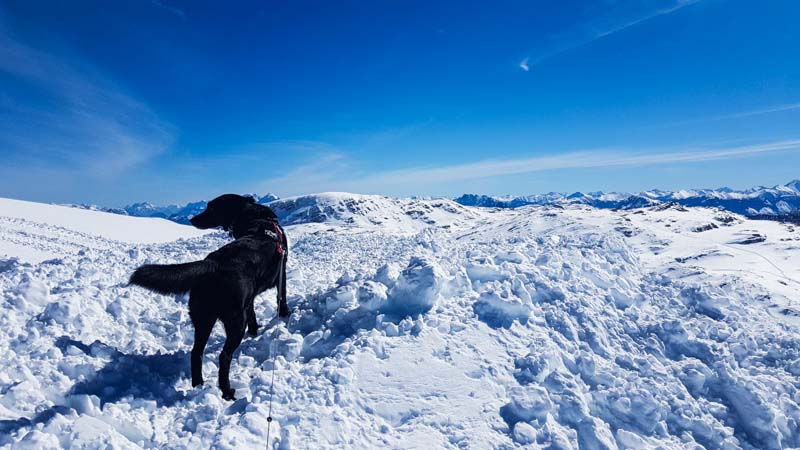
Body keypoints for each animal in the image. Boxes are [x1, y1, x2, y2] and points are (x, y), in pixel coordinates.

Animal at [126, 195, 286, 400]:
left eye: (211, 208)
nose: (192, 219)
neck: (256, 219)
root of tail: (212, 264)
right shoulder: (282, 274)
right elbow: (282, 298)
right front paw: (285, 316)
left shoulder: (248, 300)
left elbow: (253, 316)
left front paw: (254, 333)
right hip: (235, 321)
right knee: (224, 356)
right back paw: (227, 391)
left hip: (203, 318)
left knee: (196, 353)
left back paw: (199, 385)